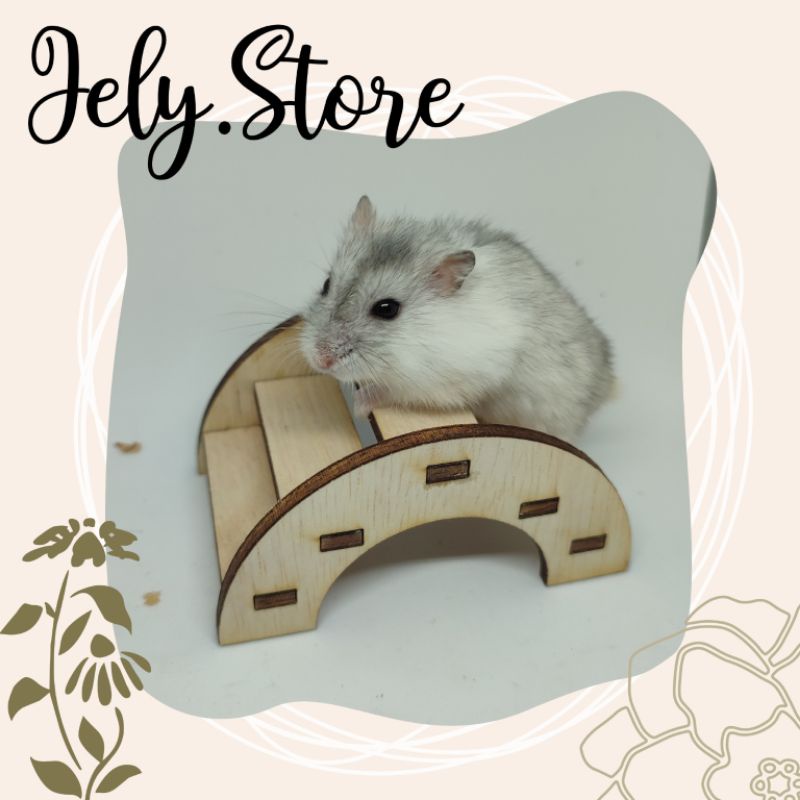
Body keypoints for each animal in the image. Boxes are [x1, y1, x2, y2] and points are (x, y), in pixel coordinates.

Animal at [299, 196, 614, 443]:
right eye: (326, 284)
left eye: (387, 309)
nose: (321, 360)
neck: (420, 333)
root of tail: (608, 383)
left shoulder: (447, 377)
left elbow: (392, 389)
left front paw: (360, 405)